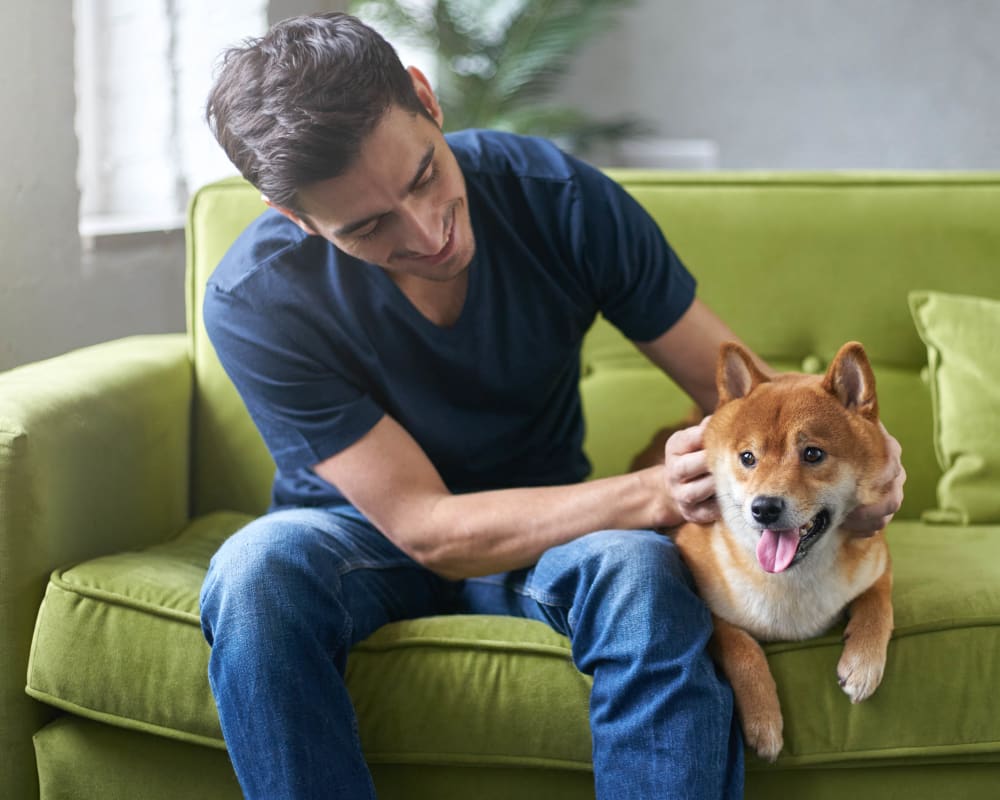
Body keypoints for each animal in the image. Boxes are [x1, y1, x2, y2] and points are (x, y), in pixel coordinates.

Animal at [640, 340, 900, 760]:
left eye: (813, 454)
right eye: (748, 458)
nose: (764, 507)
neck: (790, 583)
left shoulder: (878, 562)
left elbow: (879, 605)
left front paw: (863, 663)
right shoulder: (706, 604)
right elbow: (741, 646)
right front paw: (764, 720)